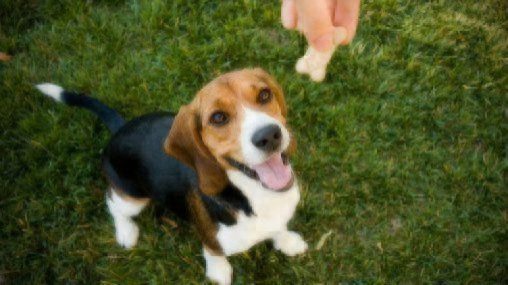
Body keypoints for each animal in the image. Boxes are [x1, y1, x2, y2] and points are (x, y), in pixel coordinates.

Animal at [35, 67, 308, 282]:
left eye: (264, 94)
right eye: (218, 117)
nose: (269, 135)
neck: (253, 193)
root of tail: (120, 128)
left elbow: (278, 229)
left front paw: (287, 241)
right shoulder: (211, 239)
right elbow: (213, 252)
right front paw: (218, 272)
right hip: (132, 197)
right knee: (113, 203)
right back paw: (126, 232)